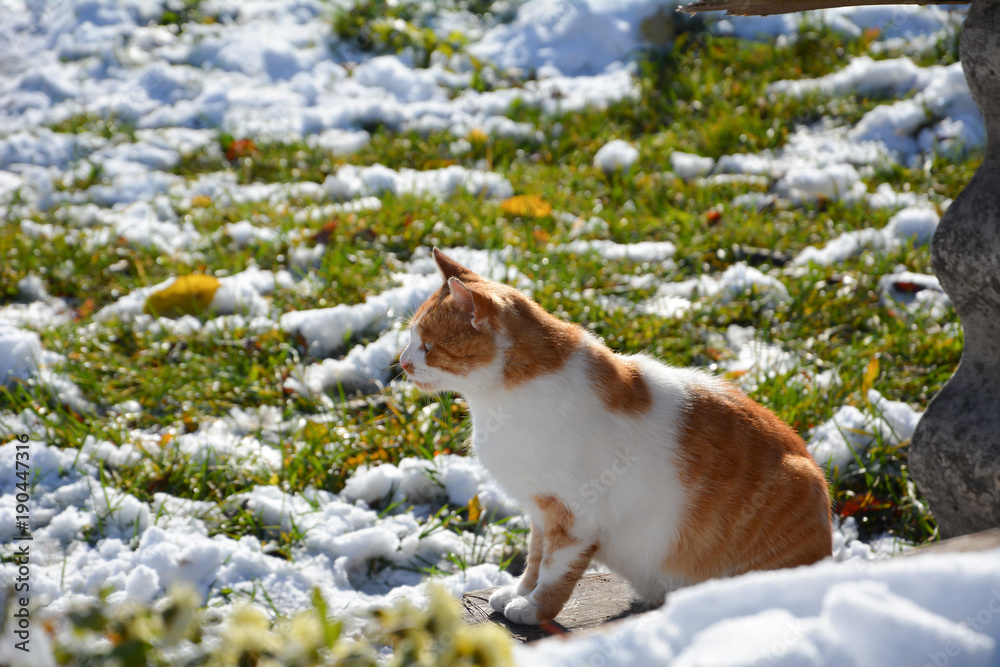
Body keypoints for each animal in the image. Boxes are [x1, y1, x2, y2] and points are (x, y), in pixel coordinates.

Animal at [394, 247, 832, 628]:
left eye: (427, 345)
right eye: (411, 339)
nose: (402, 362)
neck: (498, 404)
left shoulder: (575, 518)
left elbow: (554, 571)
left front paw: (535, 608)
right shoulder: (541, 512)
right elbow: (534, 559)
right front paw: (518, 593)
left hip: (796, 483)